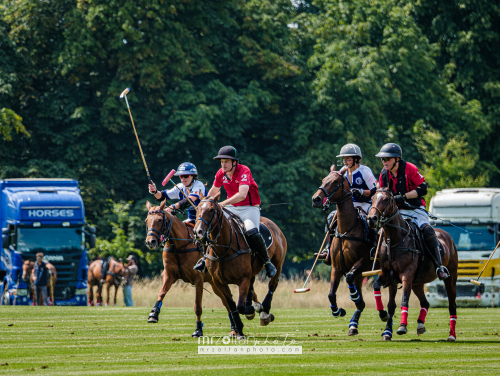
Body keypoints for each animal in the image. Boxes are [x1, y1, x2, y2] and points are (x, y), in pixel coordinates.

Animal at [143, 200, 256, 338]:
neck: (178, 246)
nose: (150, 242)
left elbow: (198, 306)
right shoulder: (169, 275)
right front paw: (153, 314)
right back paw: (234, 329)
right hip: (215, 283)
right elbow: (161, 292)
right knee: (227, 303)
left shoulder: (198, 280)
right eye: (146, 220)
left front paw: (198, 330)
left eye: (159, 220)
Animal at [192, 192, 288, 340]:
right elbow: (232, 305)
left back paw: (264, 311)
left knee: (272, 284)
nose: (198, 232)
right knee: (252, 284)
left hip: (278, 263)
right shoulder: (218, 281)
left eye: (212, 210)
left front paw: (253, 310)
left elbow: (240, 306)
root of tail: (273, 224)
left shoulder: (243, 278)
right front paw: (239, 330)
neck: (223, 250)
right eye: (197, 209)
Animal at [310, 170, 380, 334]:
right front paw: (338, 311)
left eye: (335, 182)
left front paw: (355, 298)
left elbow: (349, 278)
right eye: (324, 179)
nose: (316, 199)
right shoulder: (337, 267)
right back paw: (353, 325)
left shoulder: (362, 262)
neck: (347, 229)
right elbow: (331, 294)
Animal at [368, 187, 458, 340]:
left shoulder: (407, 276)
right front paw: (385, 324)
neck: (394, 240)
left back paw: (452, 335)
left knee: (452, 305)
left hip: (450, 278)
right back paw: (420, 324)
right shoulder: (388, 276)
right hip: (417, 282)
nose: (371, 219)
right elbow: (386, 300)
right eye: (373, 198)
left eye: (386, 199)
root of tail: (447, 236)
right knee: (425, 302)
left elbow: (404, 300)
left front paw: (402, 327)